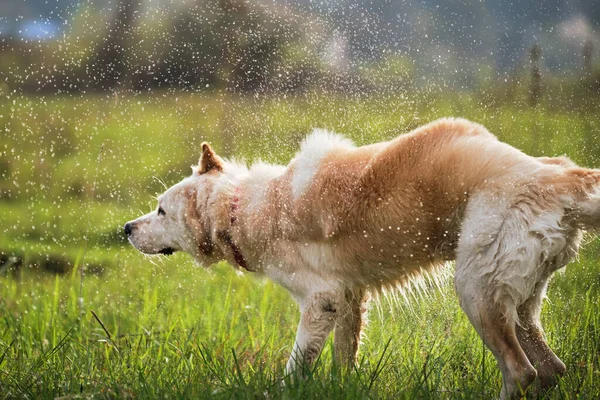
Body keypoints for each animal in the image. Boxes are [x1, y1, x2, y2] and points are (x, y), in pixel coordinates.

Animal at [124, 117, 596, 398]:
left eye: (161, 211)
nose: (126, 229)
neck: (242, 208)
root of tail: (561, 179)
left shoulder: (322, 301)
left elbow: (296, 365)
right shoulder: (350, 300)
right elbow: (343, 360)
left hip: (475, 289)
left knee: (521, 371)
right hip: (514, 299)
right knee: (551, 368)